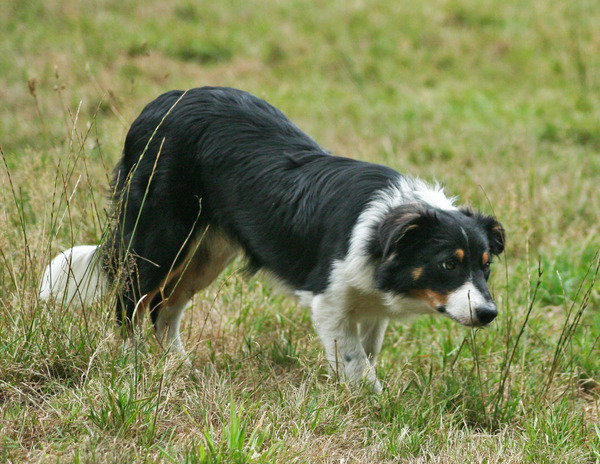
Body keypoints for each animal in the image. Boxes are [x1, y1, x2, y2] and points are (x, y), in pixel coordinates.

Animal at [39, 85, 504, 390]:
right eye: (448, 263)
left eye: (485, 268)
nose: (489, 314)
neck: (383, 233)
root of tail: (160, 103)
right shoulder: (329, 300)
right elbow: (355, 363)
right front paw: (375, 403)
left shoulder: (369, 307)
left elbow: (364, 354)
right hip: (160, 234)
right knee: (130, 299)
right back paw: (130, 364)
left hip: (207, 252)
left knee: (164, 309)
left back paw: (179, 368)